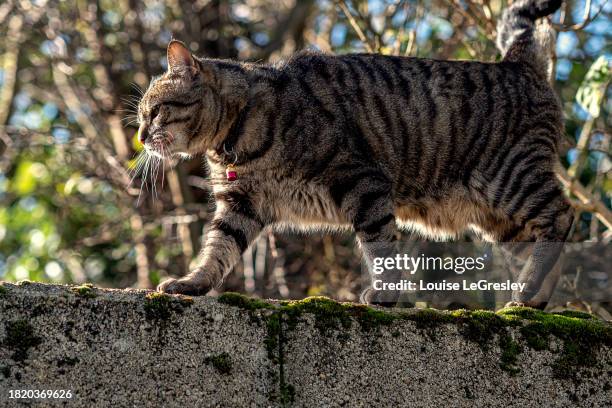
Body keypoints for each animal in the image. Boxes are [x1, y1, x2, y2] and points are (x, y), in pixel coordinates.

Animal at [137, 0, 568, 306]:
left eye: (154, 111)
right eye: (141, 115)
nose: (140, 136)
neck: (237, 135)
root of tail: (517, 63)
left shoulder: (361, 180)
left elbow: (380, 245)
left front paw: (385, 295)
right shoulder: (240, 205)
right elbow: (217, 250)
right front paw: (193, 283)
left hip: (510, 178)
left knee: (562, 217)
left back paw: (528, 291)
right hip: (498, 216)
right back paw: (532, 300)